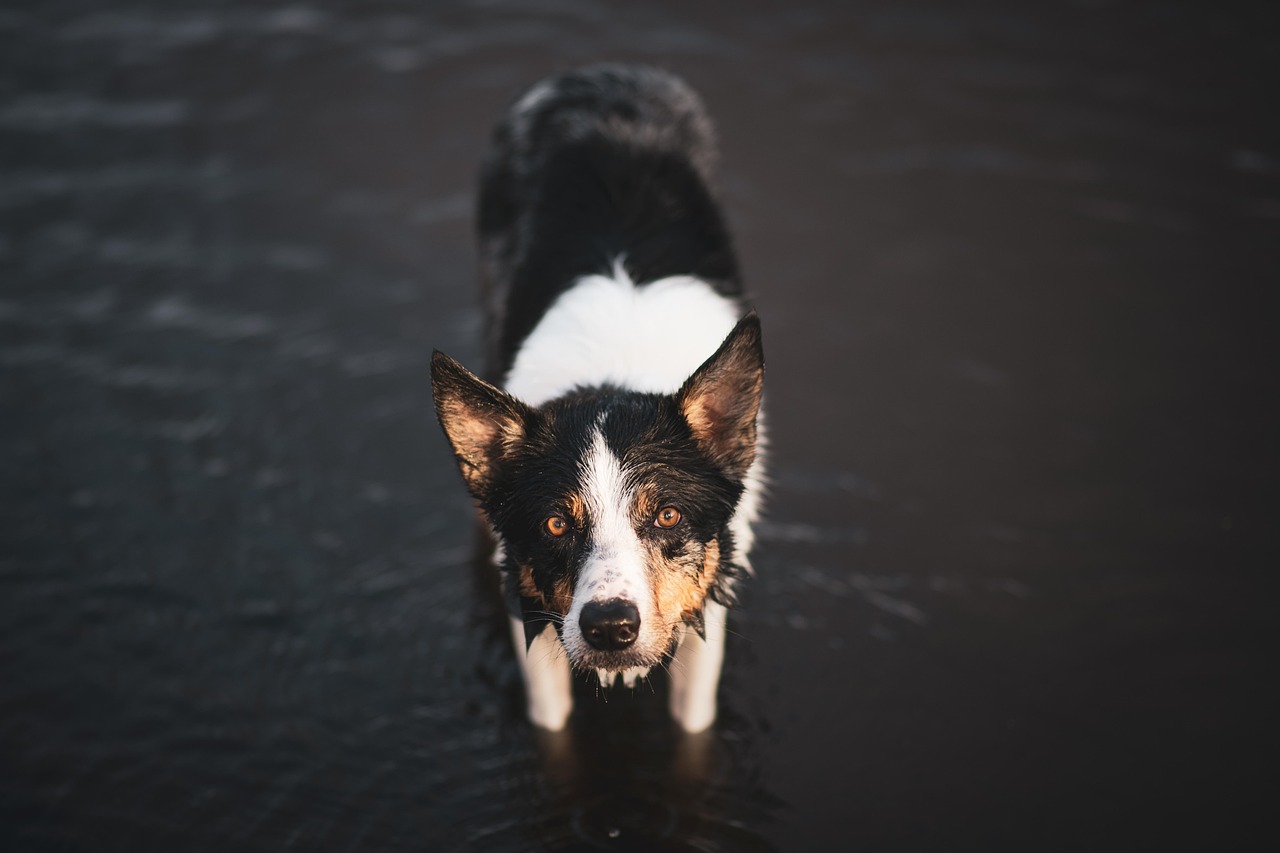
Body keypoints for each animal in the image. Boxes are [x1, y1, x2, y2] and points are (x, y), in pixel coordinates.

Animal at [435, 64, 762, 732]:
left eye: (668, 517)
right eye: (556, 523)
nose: (610, 628)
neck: (614, 376)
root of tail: (598, 72)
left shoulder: (708, 602)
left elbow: (693, 723)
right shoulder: (533, 614)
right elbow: (551, 723)